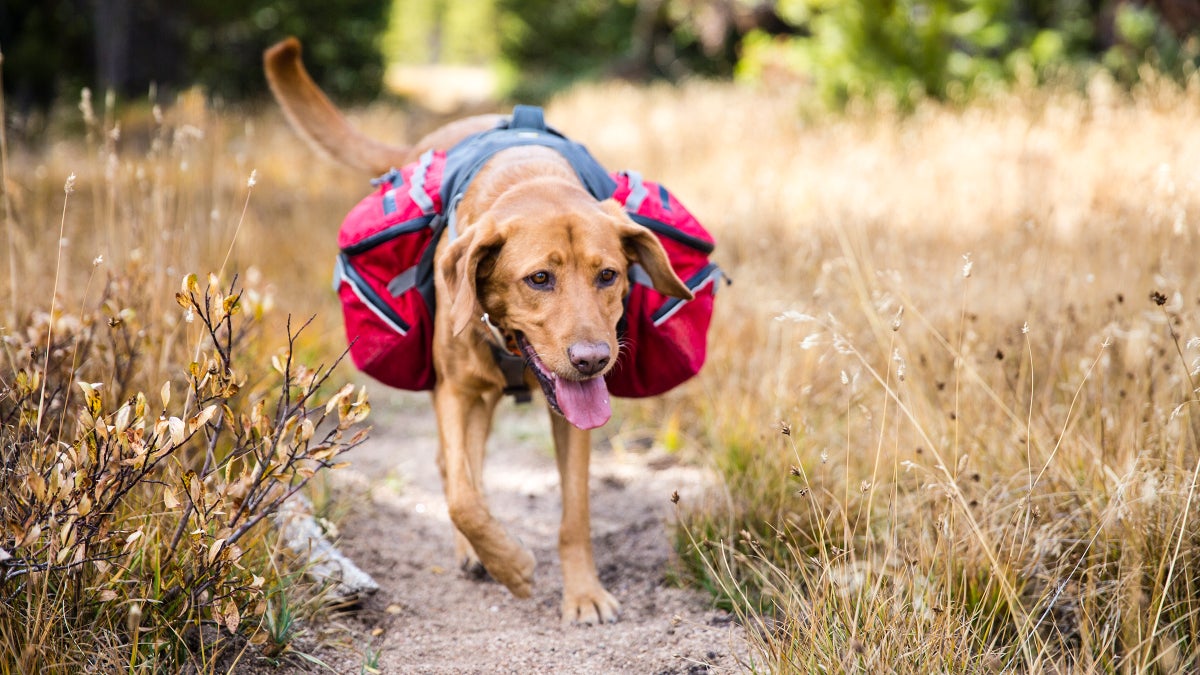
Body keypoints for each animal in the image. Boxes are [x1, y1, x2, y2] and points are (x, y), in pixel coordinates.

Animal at [265, 39, 696, 624]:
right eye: (539, 279)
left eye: (608, 275)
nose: (592, 359)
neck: (528, 180)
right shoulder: (457, 391)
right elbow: (462, 499)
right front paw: (511, 565)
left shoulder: (571, 419)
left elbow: (575, 513)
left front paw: (584, 592)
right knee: (454, 470)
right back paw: (478, 551)